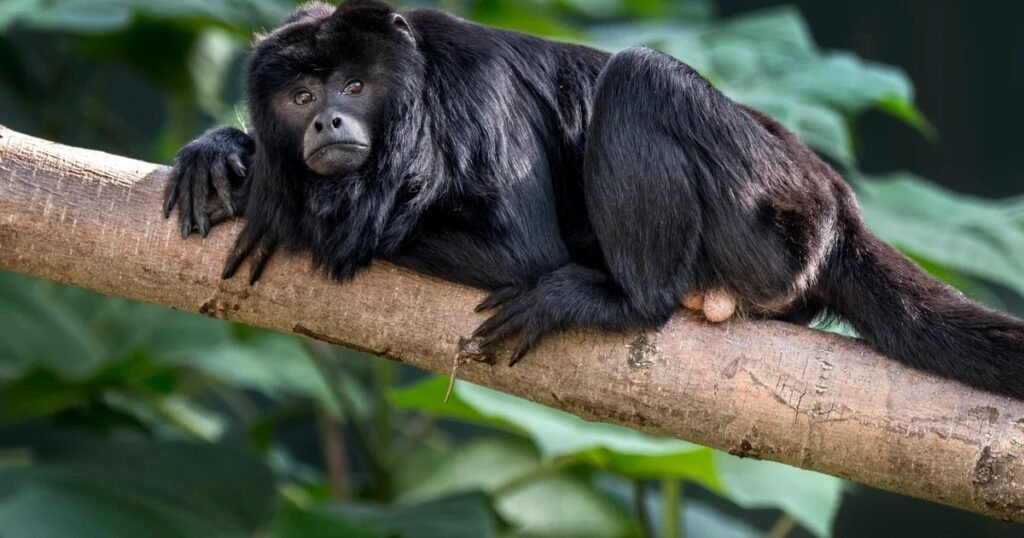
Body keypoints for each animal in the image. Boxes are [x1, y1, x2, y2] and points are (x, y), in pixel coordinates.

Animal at [163, 0, 1024, 397]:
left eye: (352, 85)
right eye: (302, 95)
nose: (329, 120)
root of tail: (835, 201)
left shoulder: (474, 90)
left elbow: (521, 248)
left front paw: (275, 204)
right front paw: (226, 155)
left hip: (773, 225)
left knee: (642, 76)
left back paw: (624, 299)